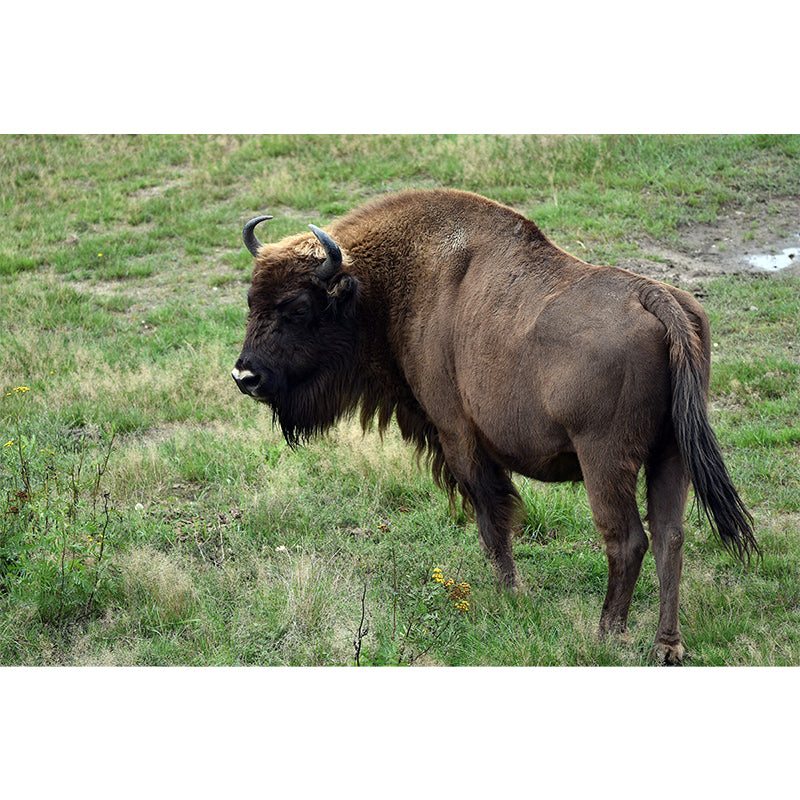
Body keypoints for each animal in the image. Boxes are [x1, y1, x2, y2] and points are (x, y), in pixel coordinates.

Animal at [232, 188, 758, 664]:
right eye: (251, 300)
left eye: (298, 308)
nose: (245, 376)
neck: (393, 283)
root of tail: (657, 297)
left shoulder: (458, 436)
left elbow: (492, 519)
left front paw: (511, 596)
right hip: (672, 453)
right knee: (671, 535)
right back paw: (667, 646)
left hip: (606, 460)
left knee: (628, 539)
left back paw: (607, 633)